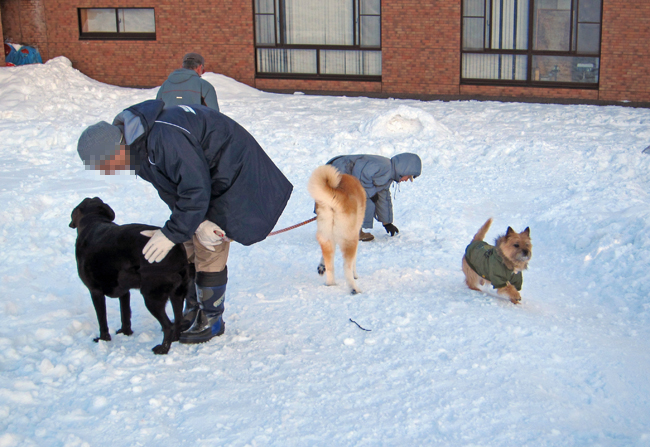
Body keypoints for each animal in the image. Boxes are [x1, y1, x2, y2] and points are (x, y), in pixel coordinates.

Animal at [70, 198, 189, 356]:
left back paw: (162, 349)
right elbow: (125, 314)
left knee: (168, 325)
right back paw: (175, 339)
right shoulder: (124, 292)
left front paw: (103, 340)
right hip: (177, 293)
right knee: (178, 319)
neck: (93, 220)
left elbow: (102, 320)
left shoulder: (95, 291)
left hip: (152, 296)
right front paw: (125, 333)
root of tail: (176, 250)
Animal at [306, 164, 364, 294]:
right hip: (349, 239)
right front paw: (356, 275)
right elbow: (354, 261)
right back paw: (354, 288)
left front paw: (321, 267)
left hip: (325, 237)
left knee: (330, 266)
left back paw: (330, 284)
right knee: (346, 267)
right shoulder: (355, 235)